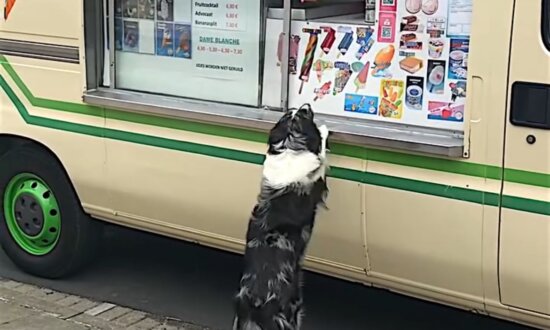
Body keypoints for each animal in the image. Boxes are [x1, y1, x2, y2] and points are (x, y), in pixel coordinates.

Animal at [232, 104, 330, 330]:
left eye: (289, 113)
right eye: (304, 114)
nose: (305, 105)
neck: (289, 147)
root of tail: (255, 304)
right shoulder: (317, 179)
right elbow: (321, 156)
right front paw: (324, 130)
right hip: (293, 312)